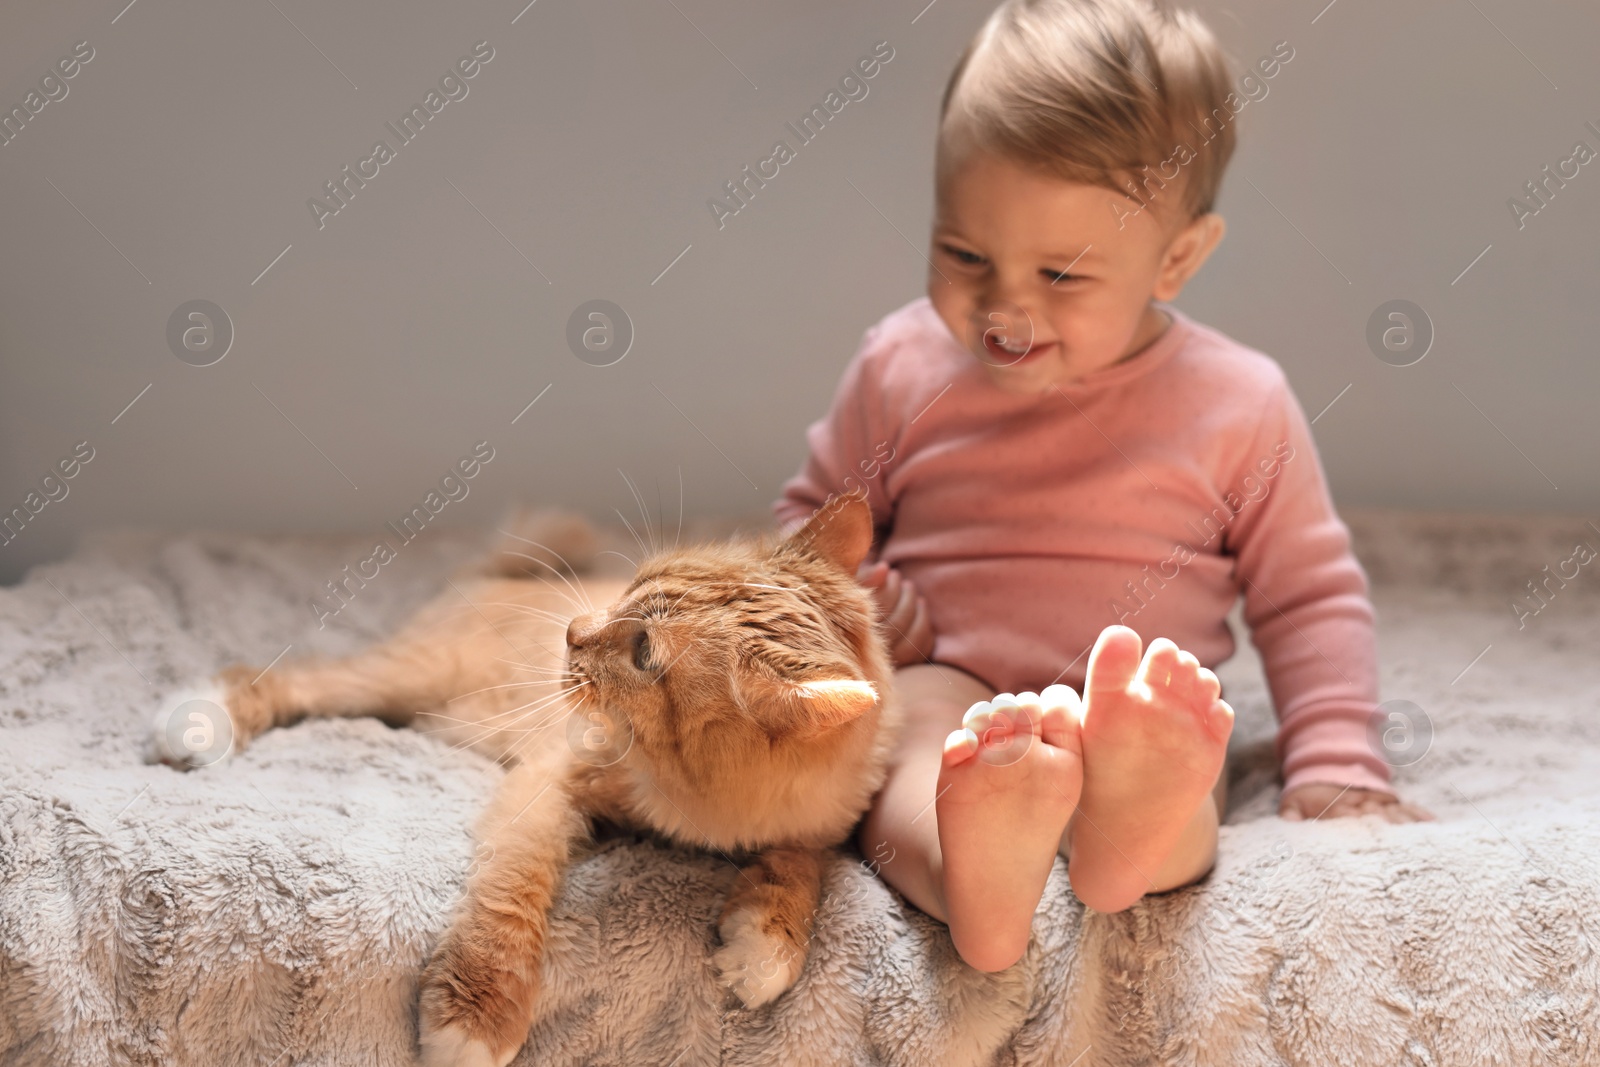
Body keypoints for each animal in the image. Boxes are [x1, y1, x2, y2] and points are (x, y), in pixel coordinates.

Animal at [147, 495, 902, 1067]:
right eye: (631, 586)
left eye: (643, 653)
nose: (572, 630)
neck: (701, 803)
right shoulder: (550, 785)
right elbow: (511, 896)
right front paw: (476, 1017)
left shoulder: (821, 823)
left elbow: (803, 867)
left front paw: (766, 941)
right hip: (400, 680)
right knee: (286, 678)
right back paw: (199, 722)